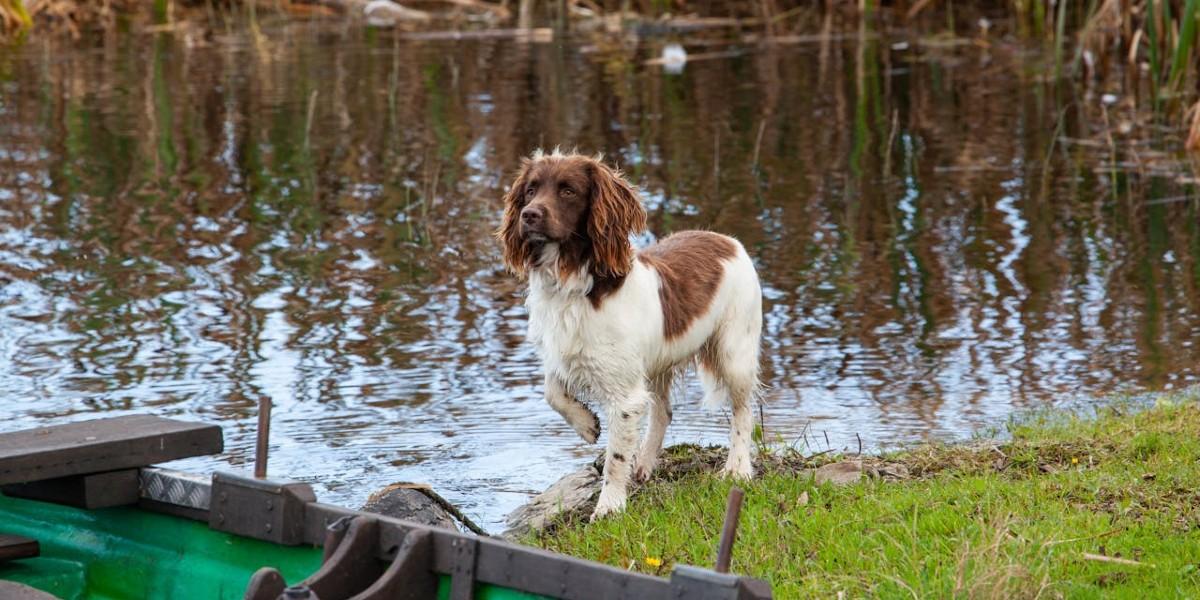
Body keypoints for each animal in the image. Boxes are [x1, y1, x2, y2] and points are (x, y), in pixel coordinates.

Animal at [499, 150, 763, 520]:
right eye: (530, 190)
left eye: (568, 190)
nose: (529, 215)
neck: (573, 286)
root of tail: (726, 239)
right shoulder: (563, 354)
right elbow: (552, 392)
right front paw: (586, 424)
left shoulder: (625, 395)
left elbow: (614, 458)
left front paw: (608, 508)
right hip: (657, 364)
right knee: (664, 411)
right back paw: (645, 465)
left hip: (734, 351)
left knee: (743, 410)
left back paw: (737, 468)